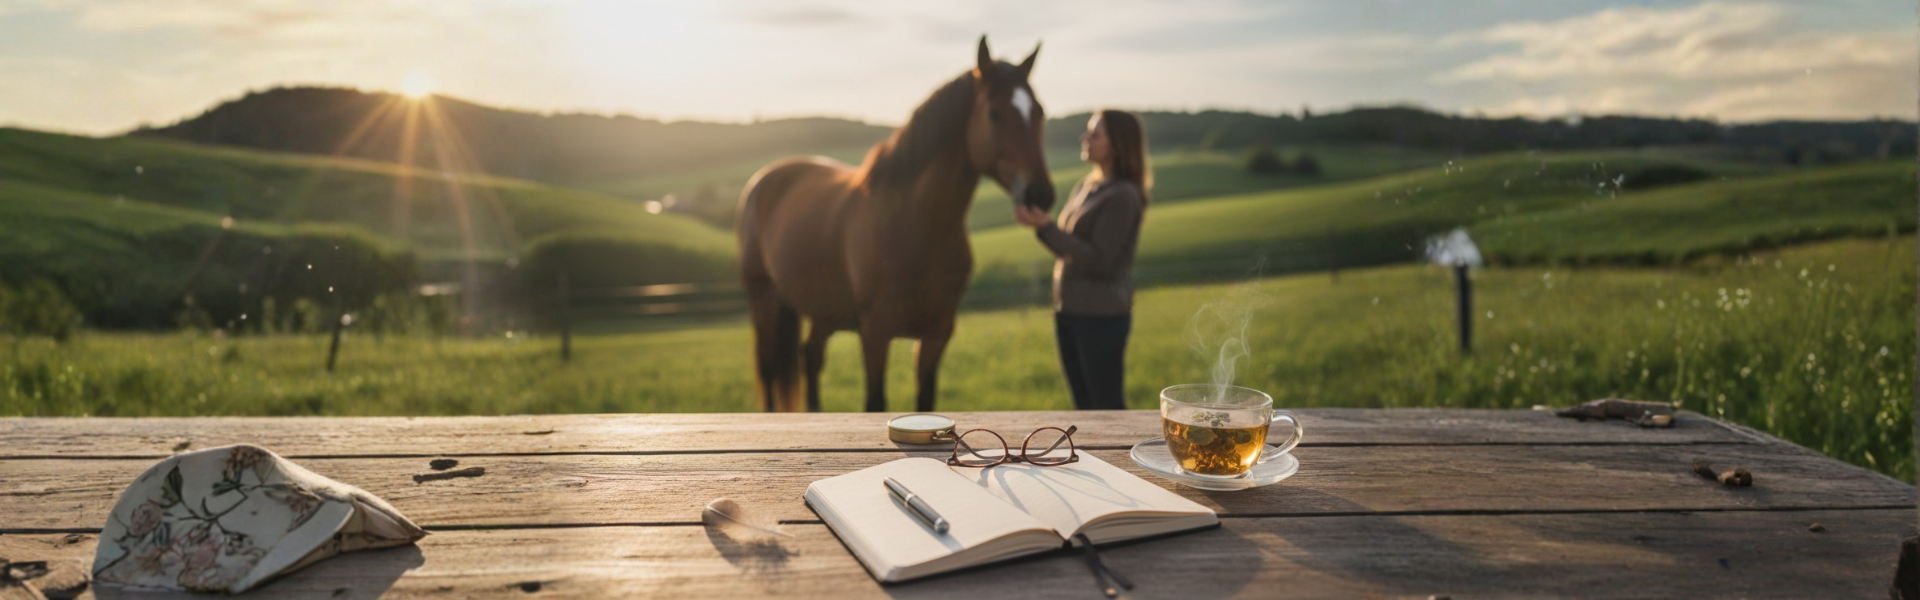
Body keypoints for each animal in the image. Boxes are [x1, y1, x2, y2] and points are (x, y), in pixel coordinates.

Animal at [736, 36, 1055, 413]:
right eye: (994, 113)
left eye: (1038, 112)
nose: (1039, 194)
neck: (914, 227)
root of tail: (761, 181)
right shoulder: (875, 334)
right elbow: (875, 402)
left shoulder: (937, 334)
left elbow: (925, 401)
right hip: (764, 301)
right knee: (770, 369)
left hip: (822, 311)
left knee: (810, 355)